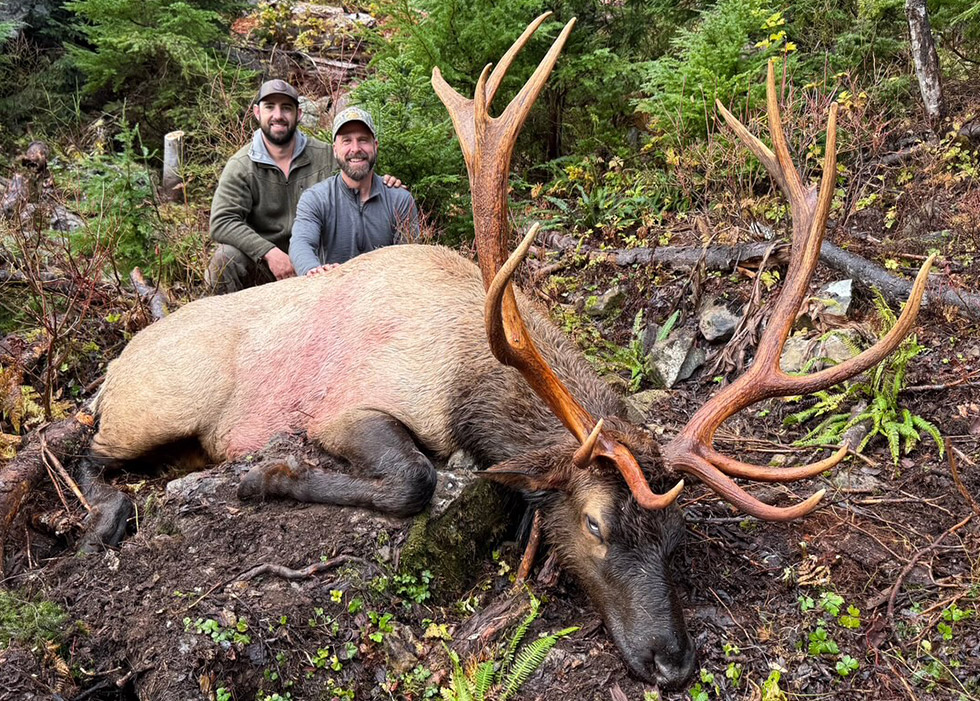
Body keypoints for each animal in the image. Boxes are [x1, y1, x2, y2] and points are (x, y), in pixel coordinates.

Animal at [80, 14, 933, 689]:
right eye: (595, 525)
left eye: (676, 535)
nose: (672, 660)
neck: (469, 371)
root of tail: (116, 363)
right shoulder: (347, 405)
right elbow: (415, 479)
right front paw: (266, 476)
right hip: (152, 404)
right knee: (89, 448)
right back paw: (108, 513)